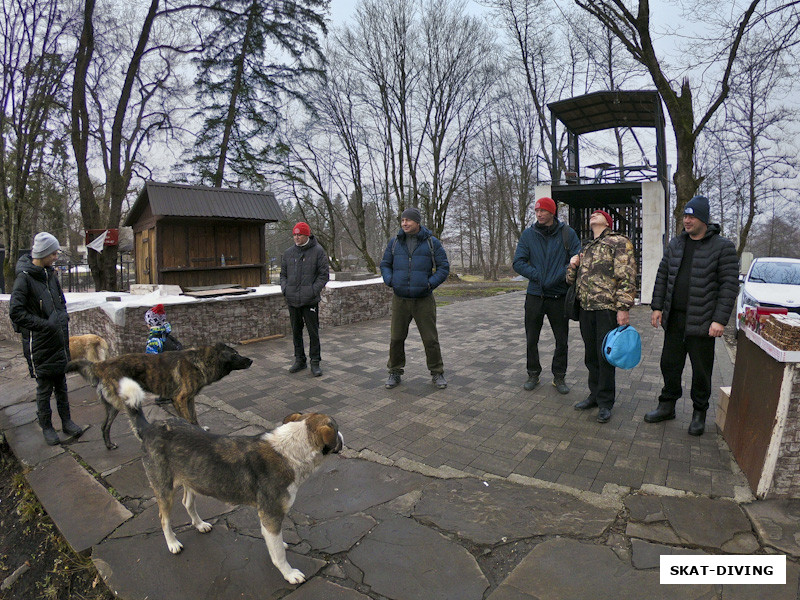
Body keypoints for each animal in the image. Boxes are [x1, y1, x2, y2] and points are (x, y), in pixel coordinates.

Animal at [121, 378, 340, 584]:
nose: (342, 436)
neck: (290, 450)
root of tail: (149, 428)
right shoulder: (271, 515)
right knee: (164, 518)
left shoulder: (268, 517)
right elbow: (278, 554)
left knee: (187, 502)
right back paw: (172, 543)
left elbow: (274, 542)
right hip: (164, 489)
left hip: (192, 478)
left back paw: (199, 524)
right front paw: (289, 573)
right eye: (337, 430)